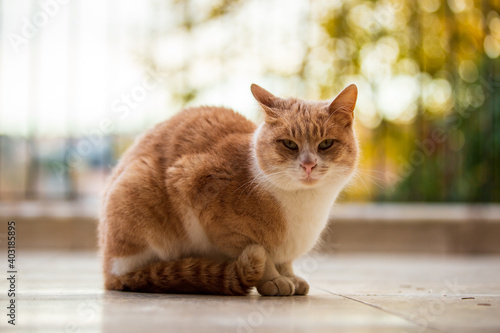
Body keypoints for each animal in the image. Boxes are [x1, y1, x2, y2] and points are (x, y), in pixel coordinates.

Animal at [97, 83, 358, 296]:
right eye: (289, 144)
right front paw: (274, 279)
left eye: (326, 144)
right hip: (137, 190)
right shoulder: (193, 183)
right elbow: (262, 255)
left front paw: (290, 276)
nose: (308, 165)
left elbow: (285, 261)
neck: (305, 203)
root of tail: (107, 272)